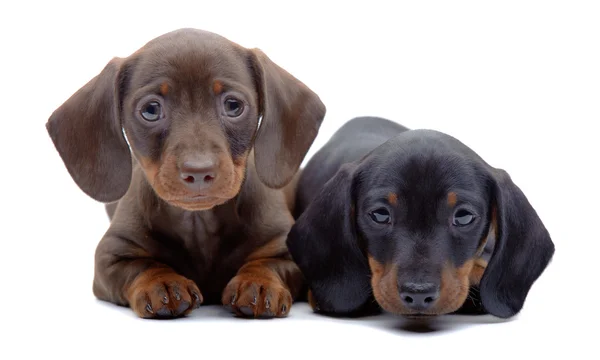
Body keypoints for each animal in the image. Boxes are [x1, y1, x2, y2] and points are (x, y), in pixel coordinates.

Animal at [45, 29, 328, 320]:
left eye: (233, 105)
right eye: (151, 110)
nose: (199, 171)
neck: (198, 223)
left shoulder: (285, 248)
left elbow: (268, 263)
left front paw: (258, 283)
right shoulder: (111, 255)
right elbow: (141, 266)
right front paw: (162, 283)